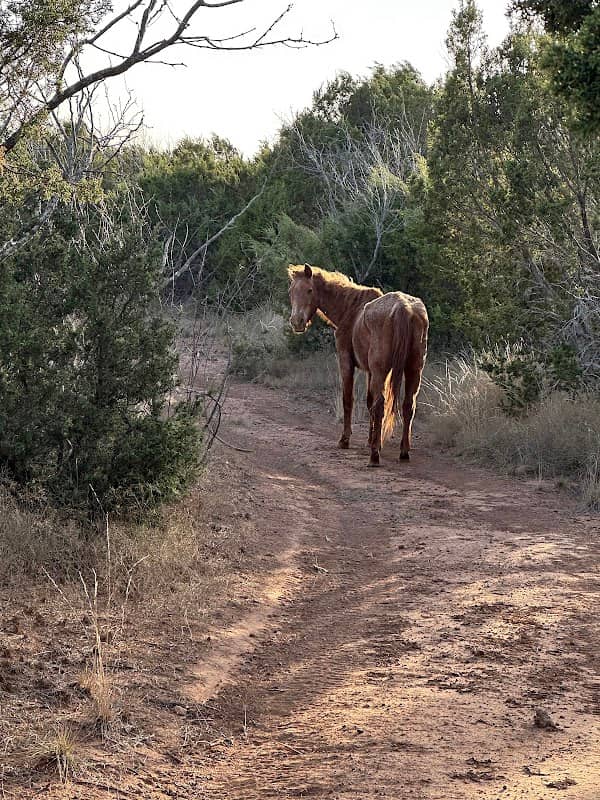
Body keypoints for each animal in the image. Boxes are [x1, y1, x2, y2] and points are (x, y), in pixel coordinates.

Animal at [288, 263, 428, 467]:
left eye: (309, 290)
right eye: (291, 291)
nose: (296, 322)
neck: (351, 311)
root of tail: (404, 309)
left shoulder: (347, 362)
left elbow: (349, 399)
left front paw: (345, 440)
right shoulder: (372, 372)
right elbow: (369, 402)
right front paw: (371, 439)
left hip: (383, 371)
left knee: (380, 405)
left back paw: (374, 456)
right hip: (413, 370)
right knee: (408, 406)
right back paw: (402, 452)